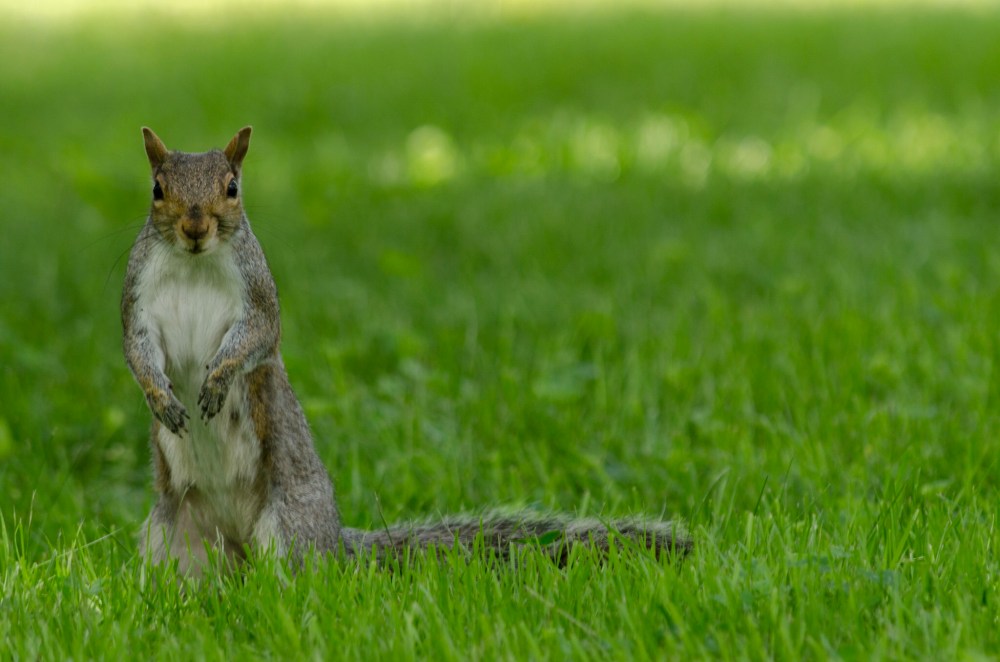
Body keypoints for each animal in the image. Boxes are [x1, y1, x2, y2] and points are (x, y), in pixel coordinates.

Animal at [122, 127, 692, 576]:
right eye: (157, 189)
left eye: (233, 188)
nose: (196, 228)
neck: (196, 262)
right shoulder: (138, 301)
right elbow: (136, 349)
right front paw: (161, 399)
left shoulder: (258, 296)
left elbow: (256, 337)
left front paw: (217, 379)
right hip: (169, 535)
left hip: (289, 528)